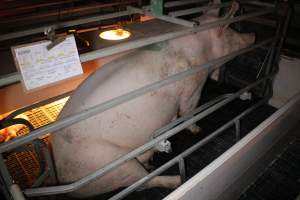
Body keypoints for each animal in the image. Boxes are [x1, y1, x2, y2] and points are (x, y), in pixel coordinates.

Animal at [49, 1, 255, 198]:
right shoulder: (193, 84)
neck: (202, 50)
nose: (253, 35)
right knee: (141, 184)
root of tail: (64, 179)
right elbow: (189, 111)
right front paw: (197, 129)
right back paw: (177, 179)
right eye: (231, 33)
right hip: (110, 165)